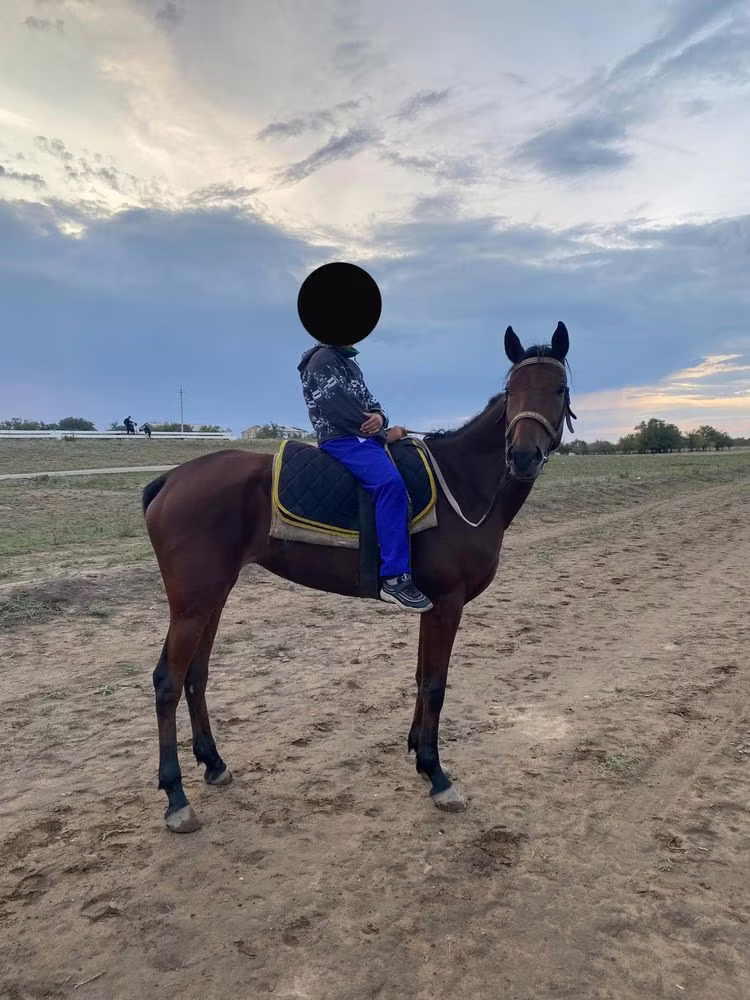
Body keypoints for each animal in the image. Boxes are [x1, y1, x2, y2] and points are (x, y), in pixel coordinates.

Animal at [142, 323, 575, 833]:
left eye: (559, 389)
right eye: (511, 392)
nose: (523, 456)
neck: (463, 481)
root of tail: (170, 480)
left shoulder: (433, 605)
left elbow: (421, 675)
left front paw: (417, 751)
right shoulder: (447, 603)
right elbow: (435, 683)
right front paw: (436, 773)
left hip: (213, 597)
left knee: (196, 675)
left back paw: (213, 764)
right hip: (192, 604)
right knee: (167, 682)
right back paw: (176, 797)